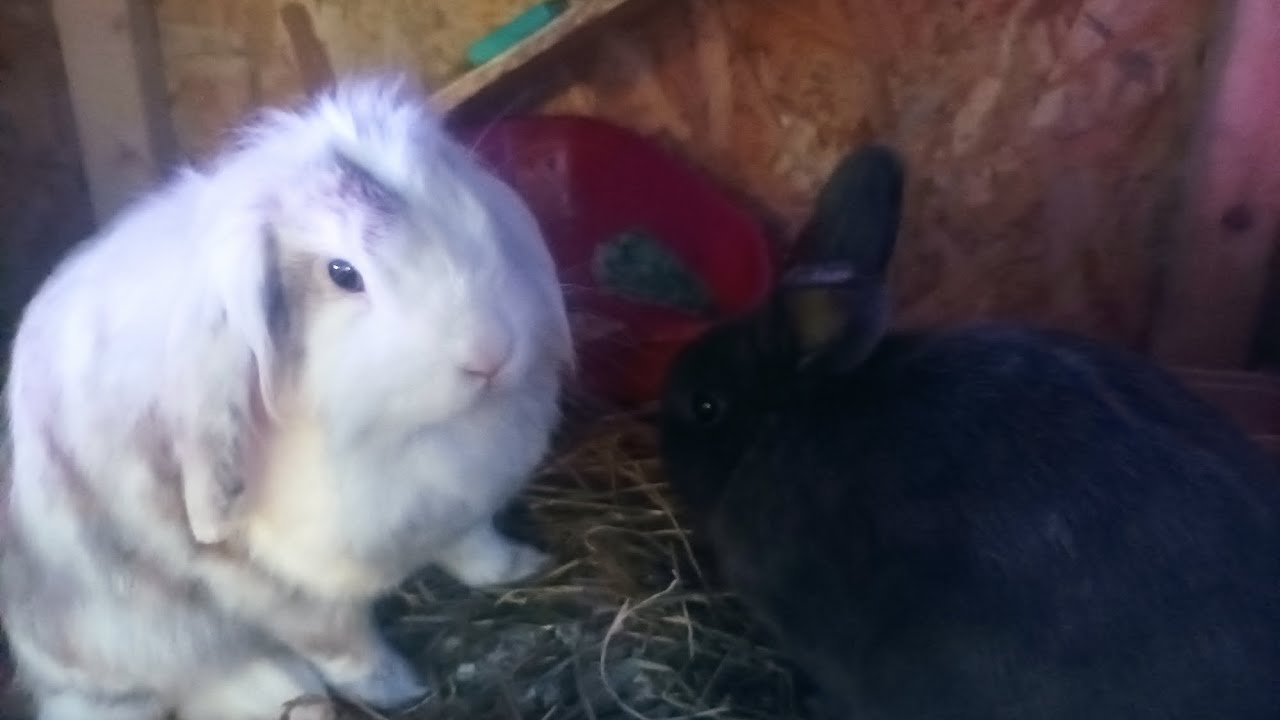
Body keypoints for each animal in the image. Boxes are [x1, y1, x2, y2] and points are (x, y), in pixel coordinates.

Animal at [0, 73, 574, 720]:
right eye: (343, 274)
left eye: (462, 206)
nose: (490, 354)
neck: (399, 435)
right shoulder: (276, 588)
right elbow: (345, 648)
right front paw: (403, 689)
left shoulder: (456, 508)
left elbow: (476, 549)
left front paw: (524, 567)